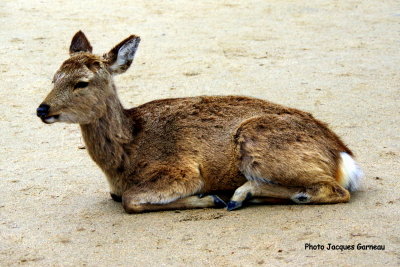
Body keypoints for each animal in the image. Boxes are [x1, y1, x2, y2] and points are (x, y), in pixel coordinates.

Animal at [36, 30, 362, 214]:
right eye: (53, 78)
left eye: (81, 82)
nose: (41, 109)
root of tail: (343, 157)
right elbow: (122, 197)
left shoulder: (182, 170)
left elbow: (130, 200)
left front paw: (208, 199)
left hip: (259, 143)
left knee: (334, 190)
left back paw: (240, 195)